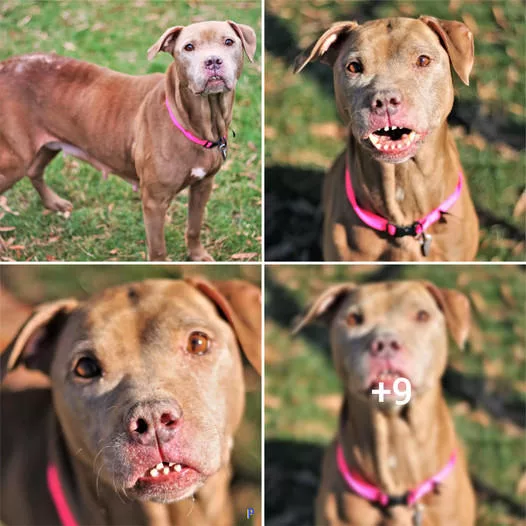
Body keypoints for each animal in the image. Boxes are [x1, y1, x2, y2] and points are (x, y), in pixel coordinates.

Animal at [0, 22, 258, 262]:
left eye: (228, 42)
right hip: (15, 160)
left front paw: (197, 255)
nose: (213, 61)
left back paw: (53, 203)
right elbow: (158, 248)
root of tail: (6, 65)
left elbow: (194, 226)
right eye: (189, 47)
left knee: (35, 170)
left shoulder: (203, 185)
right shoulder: (154, 201)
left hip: (48, 144)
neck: (197, 122)